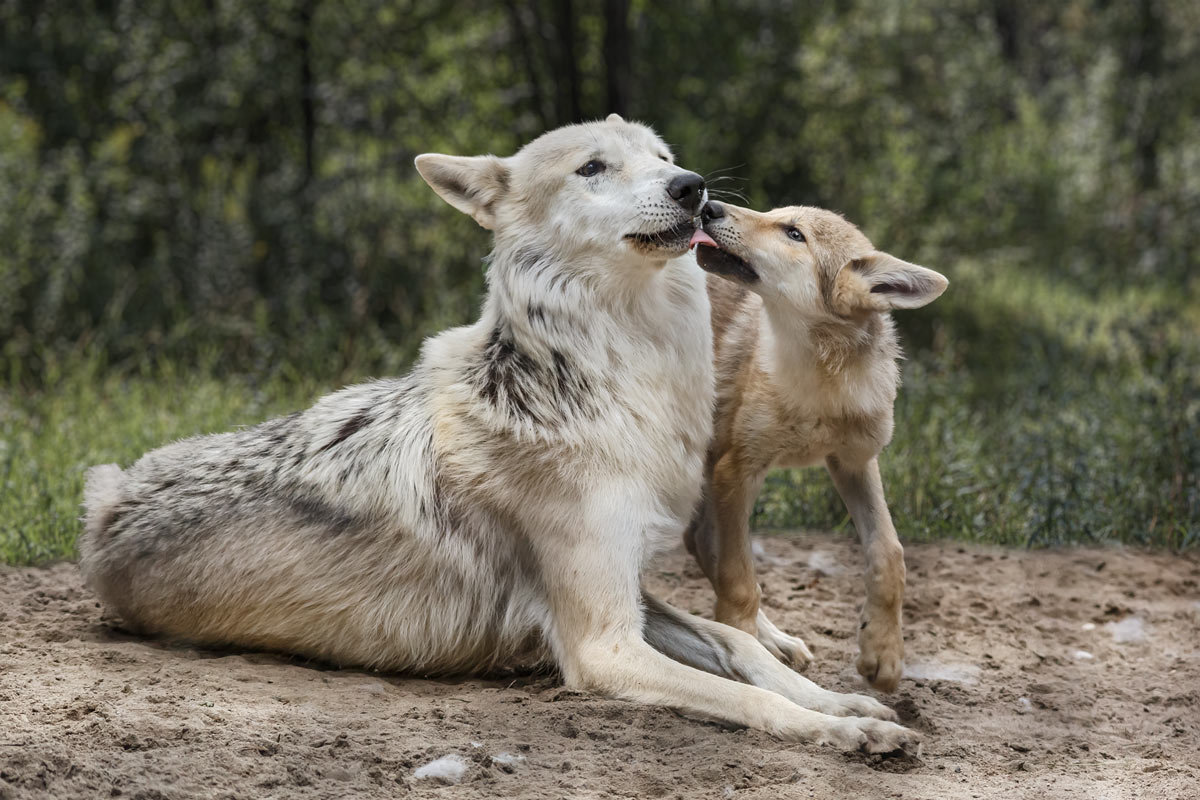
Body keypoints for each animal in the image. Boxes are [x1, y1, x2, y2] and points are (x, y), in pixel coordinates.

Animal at [79, 117, 912, 753]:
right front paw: (842, 732)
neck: (618, 384)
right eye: (592, 168)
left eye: (662, 157)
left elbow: (733, 644)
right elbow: (743, 695)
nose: (693, 188)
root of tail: (105, 504)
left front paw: (847, 702)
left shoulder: (631, 594)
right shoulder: (603, 643)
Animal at [686, 201, 945, 695]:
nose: (709, 206)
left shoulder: (855, 463)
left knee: (701, 543)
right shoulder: (738, 470)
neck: (819, 382)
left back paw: (776, 641)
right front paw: (746, 650)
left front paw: (883, 651)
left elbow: (890, 554)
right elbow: (741, 581)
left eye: (793, 233)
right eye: (773, 214)